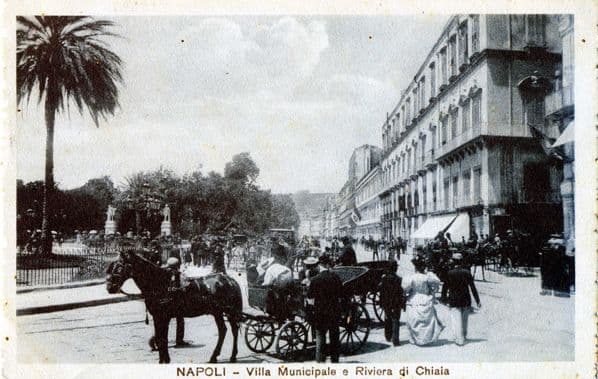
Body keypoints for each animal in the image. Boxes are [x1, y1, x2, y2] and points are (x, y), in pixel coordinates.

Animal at [106, 251, 244, 364]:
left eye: (119, 266)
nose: (109, 287)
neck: (160, 283)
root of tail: (230, 280)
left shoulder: (164, 317)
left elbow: (163, 340)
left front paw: (165, 360)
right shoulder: (157, 317)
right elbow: (160, 339)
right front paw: (162, 360)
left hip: (230, 312)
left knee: (234, 330)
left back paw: (232, 356)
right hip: (218, 312)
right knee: (223, 330)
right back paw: (214, 357)